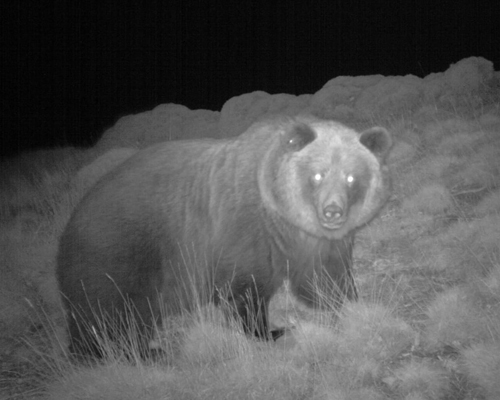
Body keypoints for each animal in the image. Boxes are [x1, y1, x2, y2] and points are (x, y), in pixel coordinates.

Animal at [54, 115, 390, 356]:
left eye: (351, 177)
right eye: (318, 174)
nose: (332, 211)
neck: (282, 218)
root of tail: (69, 223)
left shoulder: (313, 243)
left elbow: (323, 278)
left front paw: (352, 302)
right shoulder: (242, 232)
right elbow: (245, 291)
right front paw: (272, 331)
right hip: (115, 257)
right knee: (113, 316)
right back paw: (140, 351)